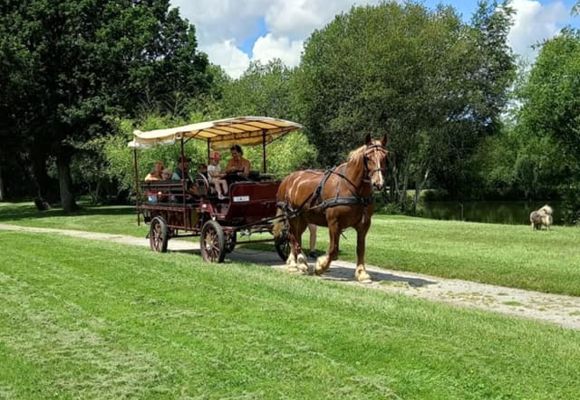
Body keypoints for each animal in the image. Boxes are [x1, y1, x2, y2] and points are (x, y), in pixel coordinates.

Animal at [274, 134, 390, 282]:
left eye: (385, 157)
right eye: (368, 157)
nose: (378, 183)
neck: (351, 188)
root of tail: (288, 178)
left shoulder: (364, 224)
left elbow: (360, 248)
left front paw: (361, 272)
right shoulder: (334, 223)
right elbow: (333, 250)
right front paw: (320, 266)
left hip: (303, 218)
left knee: (295, 236)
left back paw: (295, 262)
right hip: (292, 216)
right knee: (293, 237)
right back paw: (299, 262)